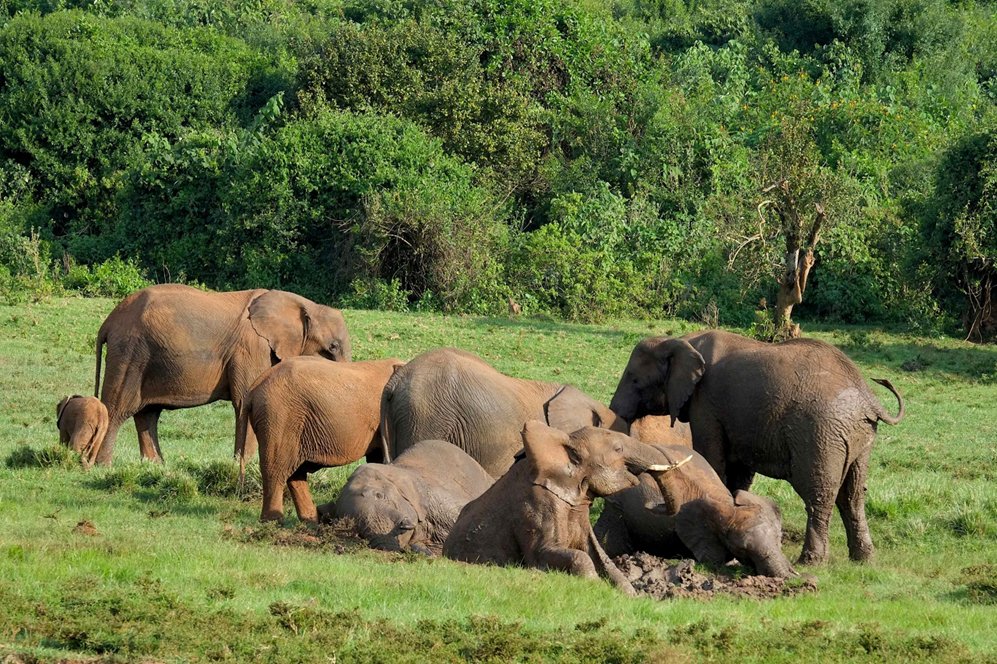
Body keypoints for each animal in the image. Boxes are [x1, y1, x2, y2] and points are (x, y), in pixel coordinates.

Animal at [94, 284, 351, 465]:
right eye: (332, 347)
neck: (303, 303)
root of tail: (108, 322)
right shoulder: (251, 348)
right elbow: (245, 401)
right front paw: (245, 464)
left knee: (147, 413)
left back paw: (155, 466)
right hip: (130, 353)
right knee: (117, 407)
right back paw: (102, 466)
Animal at [236, 356, 404, 523]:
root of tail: (254, 387)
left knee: (295, 472)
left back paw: (311, 521)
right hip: (278, 417)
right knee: (276, 467)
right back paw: (274, 521)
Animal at [443, 421, 685, 594]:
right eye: (618, 449)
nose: (654, 505)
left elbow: (601, 558)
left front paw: (628, 593)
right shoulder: (537, 505)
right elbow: (552, 554)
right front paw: (594, 586)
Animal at [594, 443, 796, 578]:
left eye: (779, 539)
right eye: (742, 549)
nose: (793, 576)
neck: (725, 503)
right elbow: (714, 562)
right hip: (616, 509)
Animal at [609, 329, 905, 565]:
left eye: (635, 380)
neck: (681, 341)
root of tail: (868, 398)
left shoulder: (706, 402)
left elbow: (713, 459)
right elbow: (739, 472)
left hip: (821, 433)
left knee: (819, 493)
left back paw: (810, 562)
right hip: (859, 436)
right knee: (853, 494)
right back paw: (864, 561)